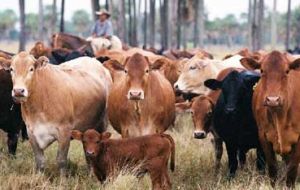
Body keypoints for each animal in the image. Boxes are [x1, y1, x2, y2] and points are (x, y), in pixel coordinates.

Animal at [240, 50, 300, 189]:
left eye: (287, 71)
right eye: (262, 70)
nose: (273, 100)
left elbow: (292, 170)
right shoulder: (263, 136)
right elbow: (272, 167)